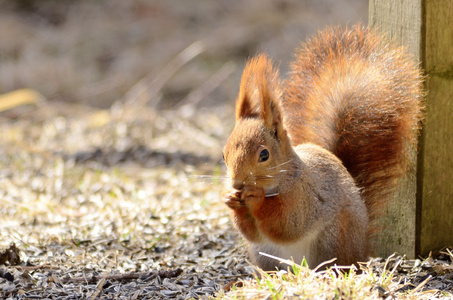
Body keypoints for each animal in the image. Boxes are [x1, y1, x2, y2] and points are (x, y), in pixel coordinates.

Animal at [221, 24, 422, 270]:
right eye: (224, 155)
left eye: (264, 154)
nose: (237, 184)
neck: (284, 176)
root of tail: (362, 251)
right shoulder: (258, 235)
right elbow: (252, 233)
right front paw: (231, 200)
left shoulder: (306, 195)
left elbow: (288, 224)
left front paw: (255, 197)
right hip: (264, 255)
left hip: (333, 239)